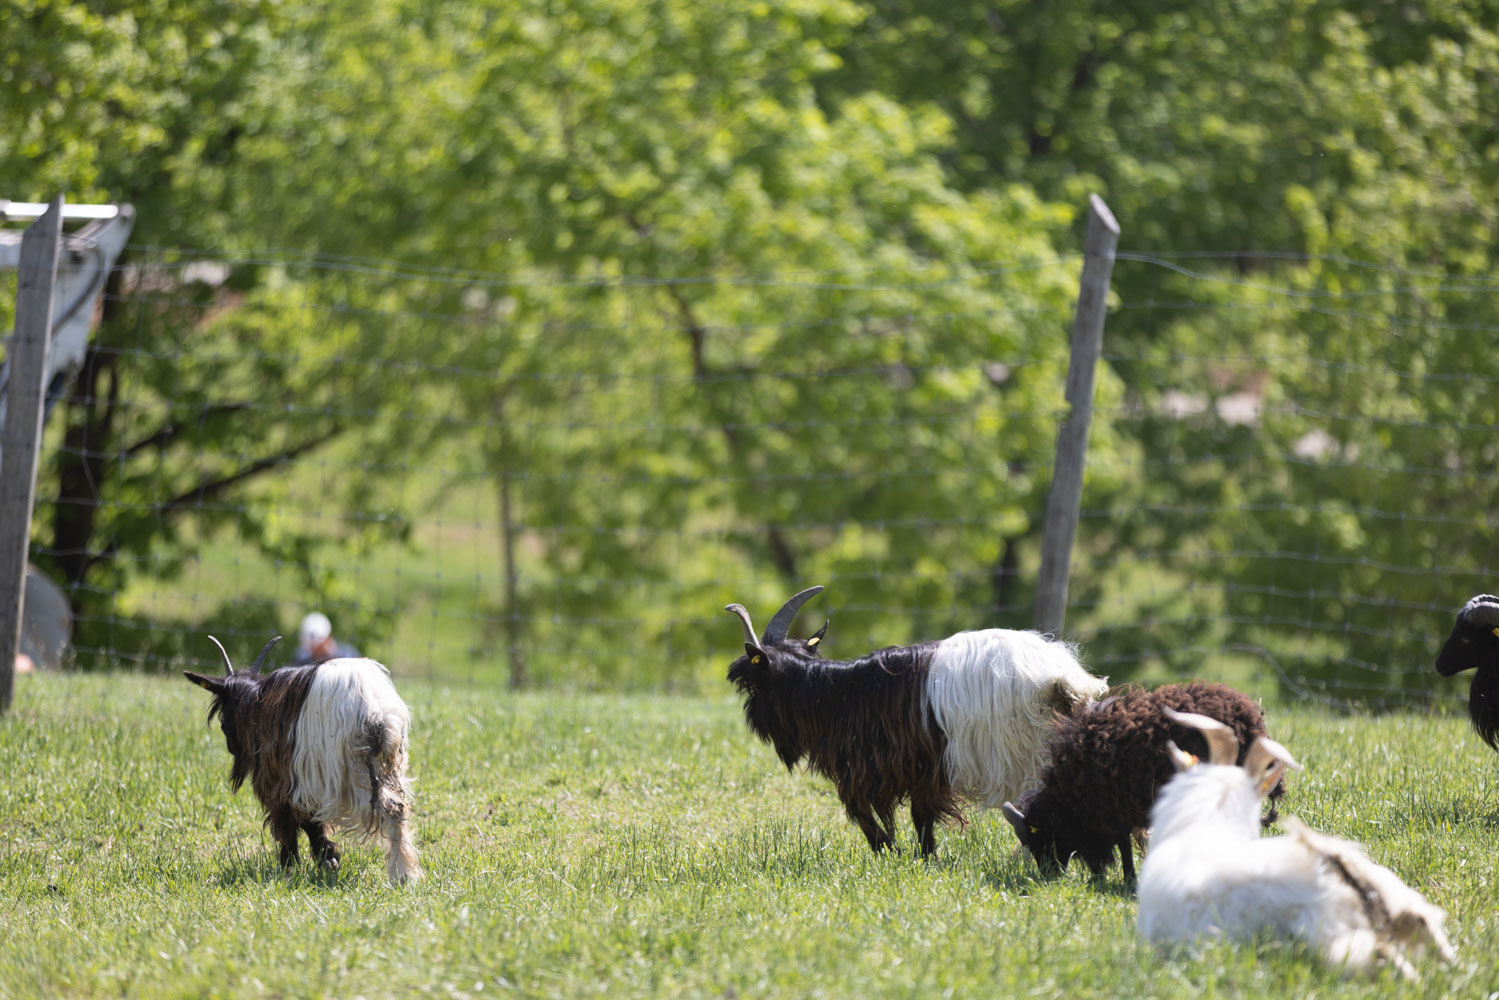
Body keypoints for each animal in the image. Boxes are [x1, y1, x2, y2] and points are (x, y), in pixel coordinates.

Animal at [183, 634, 422, 885]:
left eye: (224, 711)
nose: (230, 745)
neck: (256, 705)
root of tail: (377, 711)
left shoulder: (286, 777)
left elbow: (294, 819)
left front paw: (294, 865)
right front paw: (326, 858)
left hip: (348, 769)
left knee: (387, 809)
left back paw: (401, 873)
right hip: (386, 764)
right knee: (397, 808)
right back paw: (406, 873)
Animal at [724, 585, 1108, 856]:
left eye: (753, 685)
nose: (756, 721)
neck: (838, 697)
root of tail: (1061, 679)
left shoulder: (892, 769)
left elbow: (882, 817)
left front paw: (899, 855)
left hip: (1035, 748)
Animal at [1000, 682, 1284, 885]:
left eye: (1038, 838)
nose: (1049, 876)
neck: (1070, 796)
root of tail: (1248, 718)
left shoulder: (1112, 810)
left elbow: (1123, 844)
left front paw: (1127, 880)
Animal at [1137, 709, 1454, 980]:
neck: (1205, 823)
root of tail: (1334, 870)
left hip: (1333, 938)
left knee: (1385, 956)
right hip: (1393, 895)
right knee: (1421, 923)